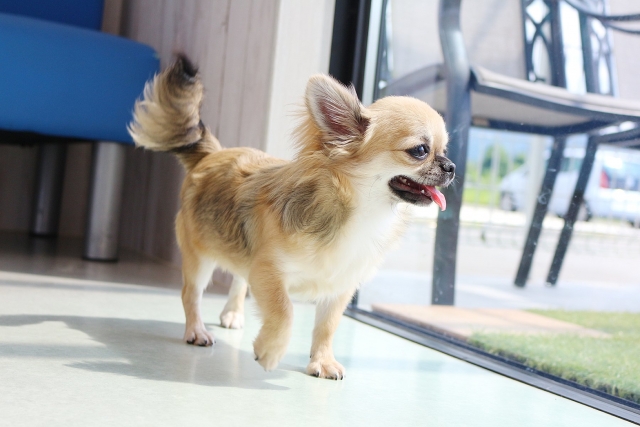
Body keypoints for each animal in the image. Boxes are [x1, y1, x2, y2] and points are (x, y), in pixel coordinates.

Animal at [128, 55, 454, 380]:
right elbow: (285, 311)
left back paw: (232, 313)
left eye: (445, 150)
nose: (451, 166)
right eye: (420, 150)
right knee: (191, 293)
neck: (360, 213)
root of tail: (212, 154)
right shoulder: (268, 272)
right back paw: (196, 330)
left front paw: (322, 360)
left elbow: (327, 326)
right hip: (200, 256)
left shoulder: (339, 287)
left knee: (238, 277)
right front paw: (270, 351)